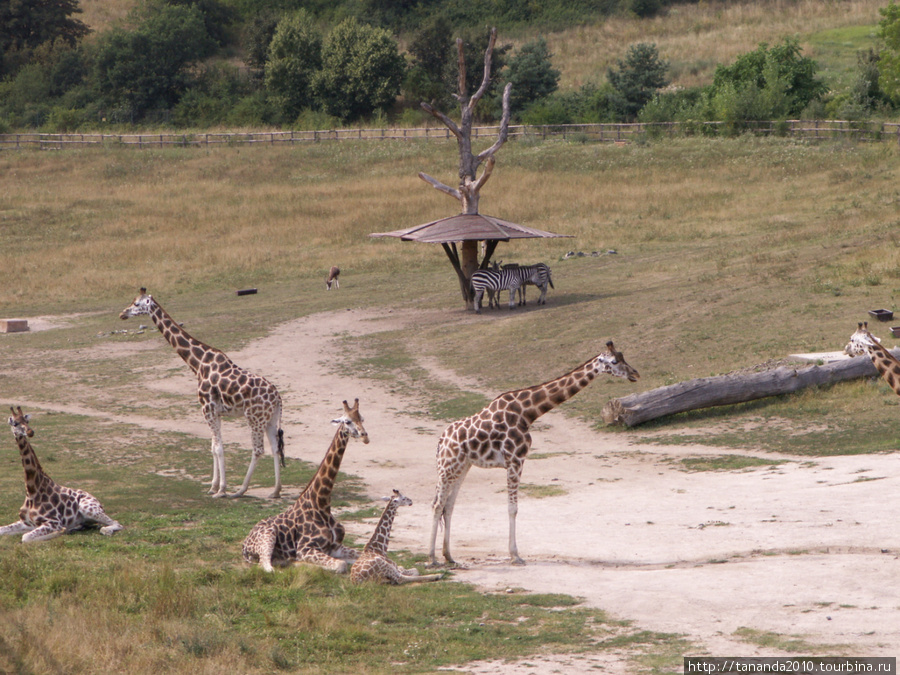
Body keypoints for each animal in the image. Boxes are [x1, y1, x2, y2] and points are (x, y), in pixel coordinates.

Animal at [1, 406, 123, 544]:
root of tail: (97, 501)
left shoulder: (53, 522)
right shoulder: (26, 522)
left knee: (116, 523)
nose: (30, 432)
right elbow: (2, 530)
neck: (32, 489)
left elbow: (25, 537)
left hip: (88, 508)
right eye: (15, 423)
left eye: (27, 422)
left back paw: (105, 530)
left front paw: (61, 532)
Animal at [118, 288, 284, 500]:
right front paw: (213, 486)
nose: (122, 313)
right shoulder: (216, 412)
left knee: (258, 450)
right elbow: (213, 447)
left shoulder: (208, 408)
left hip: (255, 418)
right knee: (275, 448)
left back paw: (240, 490)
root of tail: (278, 398)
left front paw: (221, 490)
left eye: (137, 304)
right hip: (270, 419)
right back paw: (275, 491)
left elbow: (219, 448)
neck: (197, 364)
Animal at [243, 398, 370, 572]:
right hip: (268, 536)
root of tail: (245, 543)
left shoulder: (336, 547)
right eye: (347, 421)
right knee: (267, 566)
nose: (365, 437)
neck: (322, 504)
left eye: (362, 419)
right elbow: (341, 564)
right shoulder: (305, 548)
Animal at [428, 340, 640, 568]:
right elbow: (512, 508)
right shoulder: (515, 460)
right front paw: (515, 555)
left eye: (623, 356)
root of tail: (441, 441)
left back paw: (449, 556)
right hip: (448, 466)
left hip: (462, 466)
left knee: (448, 506)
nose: (635, 374)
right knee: (437, 504)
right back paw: (432, 558)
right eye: (614, 361)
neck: (528, 413)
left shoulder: (514, 461)